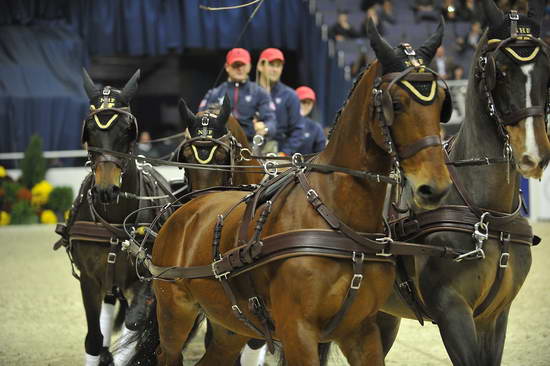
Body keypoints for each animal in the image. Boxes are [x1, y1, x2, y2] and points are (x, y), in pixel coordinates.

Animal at [55, 69, 172, 366]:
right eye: (90, 130)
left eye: (126, 129)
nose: (106, 189)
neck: (114, 223)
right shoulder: (89, 280)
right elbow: (94, 340)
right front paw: (103, 351)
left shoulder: (143, 280)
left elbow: (135, 326)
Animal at [130, 20, 458, 366]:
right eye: (395, 105)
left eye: (441, 105)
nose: (434, 185)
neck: (338, 220)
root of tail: (184, 213)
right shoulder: (297, 331)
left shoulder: (362, 329)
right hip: (174, 313)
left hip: (230, 325)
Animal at [378, 0, 550, 366]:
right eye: (500, 70)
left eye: (547, 70)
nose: (533, 154)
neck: (483, 212)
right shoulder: (452, 312)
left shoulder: (496, 316)